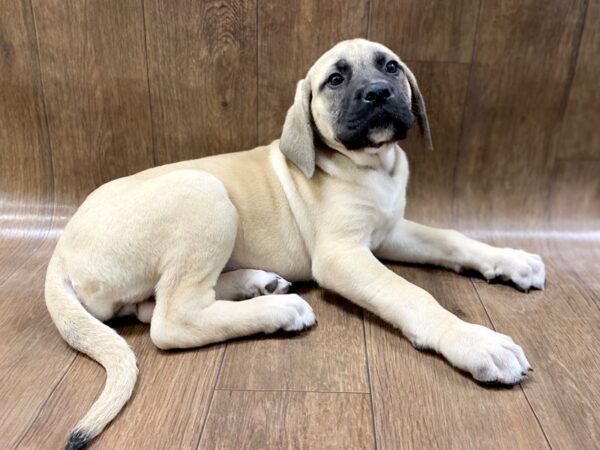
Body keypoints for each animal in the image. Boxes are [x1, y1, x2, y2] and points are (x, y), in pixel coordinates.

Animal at [45, 39, 544, 450]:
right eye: (335, 80)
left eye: (391, 67)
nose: (379, 93)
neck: (371, 166)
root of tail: (60, 250)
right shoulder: (343, 255)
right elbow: (412, 294)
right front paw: (476, 342)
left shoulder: (389, 231)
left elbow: (451, 238)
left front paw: (511, 259)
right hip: (203, 192)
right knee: (171, 321)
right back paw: (278, 309)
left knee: (152, 307)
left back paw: (257, 284)